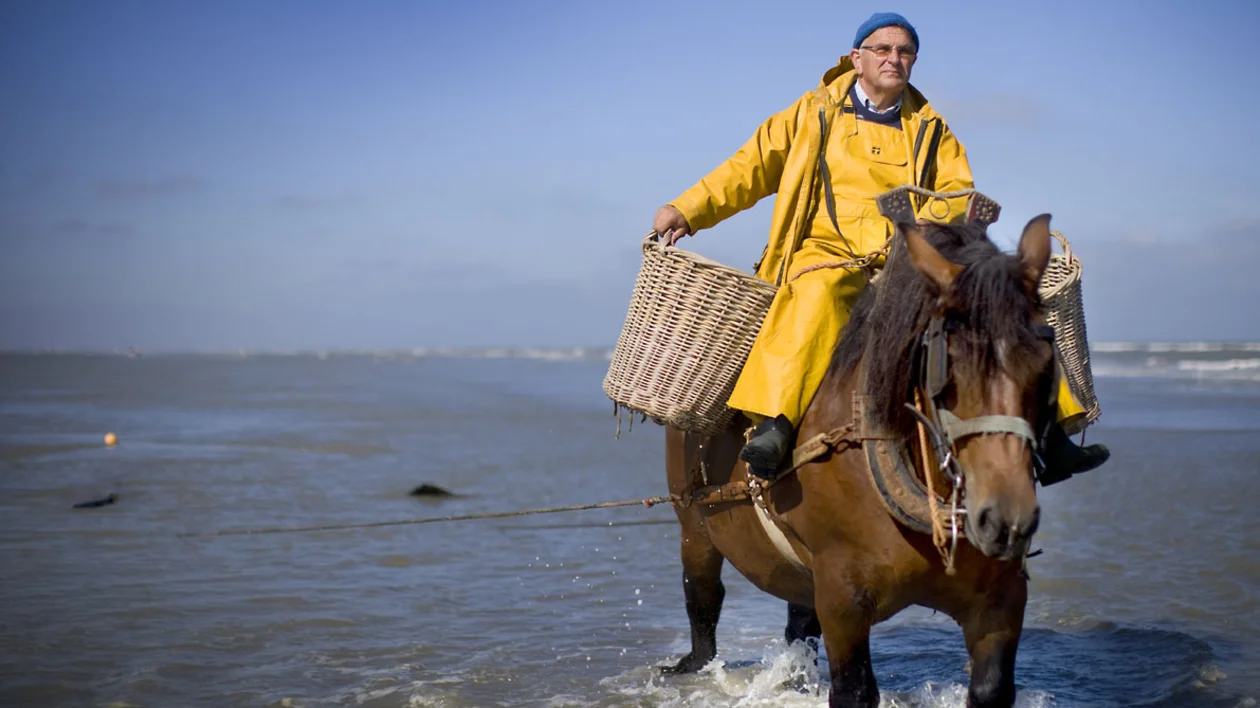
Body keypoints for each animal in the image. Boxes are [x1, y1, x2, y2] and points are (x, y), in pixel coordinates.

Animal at [661, 215, 1058, 708]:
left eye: (1045, 362)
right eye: (949, 366)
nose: (1007, 518)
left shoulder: (1001, 599)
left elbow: (990, 690)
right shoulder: (843, 599)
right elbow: (853, 689)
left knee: (798, 620)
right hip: (693, 522)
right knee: (702, 595)